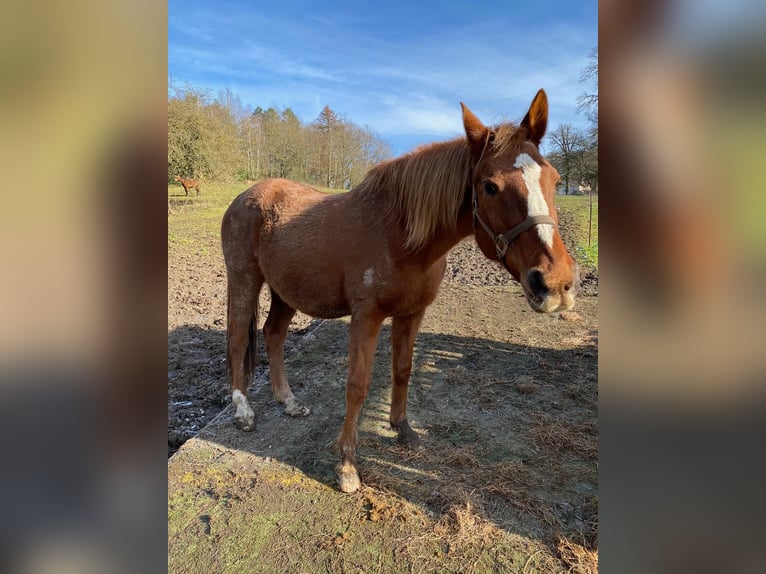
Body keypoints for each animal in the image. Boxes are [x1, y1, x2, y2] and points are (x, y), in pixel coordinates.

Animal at [220, 90, 576, 496]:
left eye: (554, 178)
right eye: (490, 186)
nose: (555, 283)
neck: (402, 235)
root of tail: (245, 196)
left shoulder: (412, 313)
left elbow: (403, 370)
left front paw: (402, 429)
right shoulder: (366, 317)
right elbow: (357, 385)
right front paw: (347, 465)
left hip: (285, 291)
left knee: (274, 335)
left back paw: (289, 401)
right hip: (244, 280)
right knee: (237, 340)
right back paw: (244, 411)